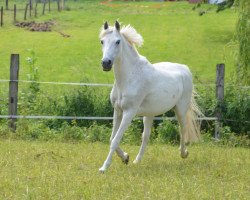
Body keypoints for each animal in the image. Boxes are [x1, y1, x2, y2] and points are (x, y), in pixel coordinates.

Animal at [98, 21, 202, 173]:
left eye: (117, 41)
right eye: (102, 41)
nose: (106, 63)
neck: (129, 77)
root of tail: (185, 69)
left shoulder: (129, 112)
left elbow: (116, 140)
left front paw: (104, 167)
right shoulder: (117, 111)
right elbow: (112, 139)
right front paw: (126, 158)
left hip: (180, 109)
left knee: (183, 130)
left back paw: (184, 153)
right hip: (149, 114)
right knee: (146, 136)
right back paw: (137, 161)